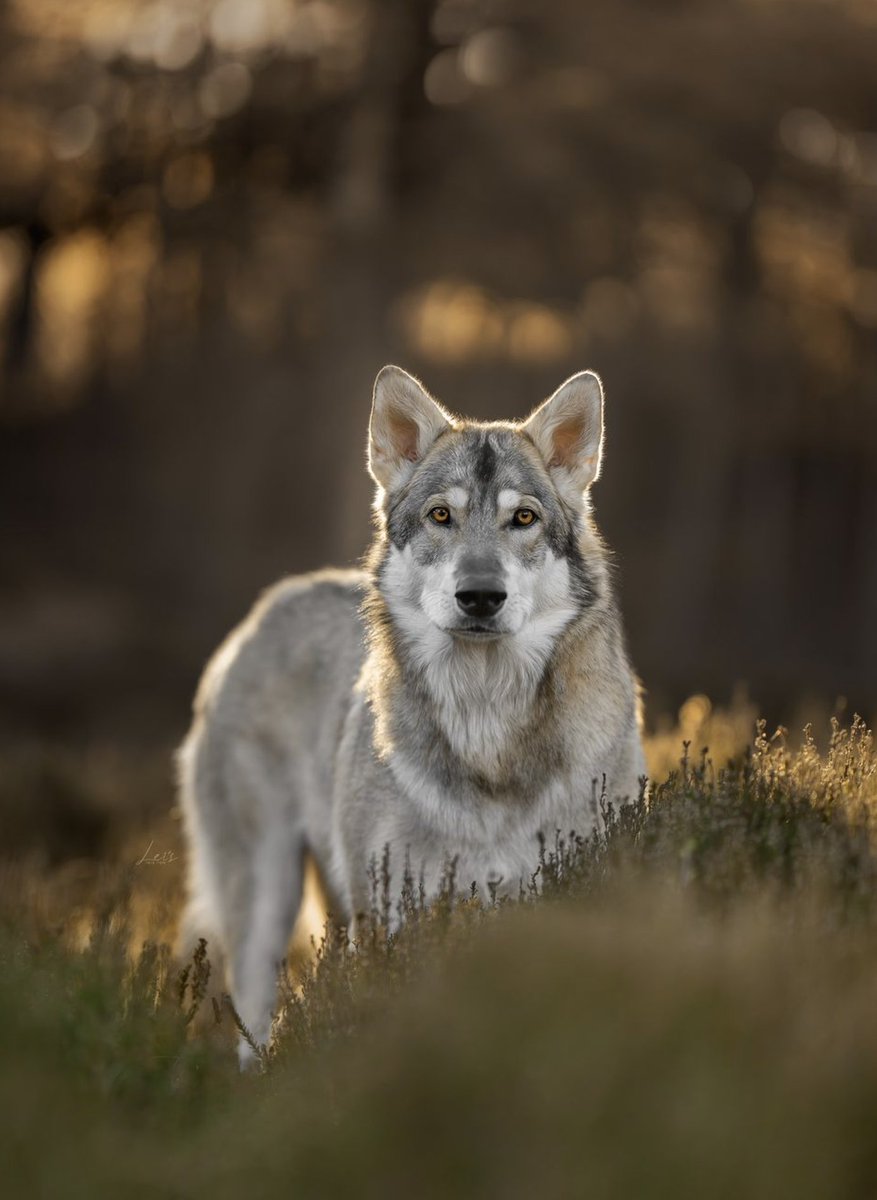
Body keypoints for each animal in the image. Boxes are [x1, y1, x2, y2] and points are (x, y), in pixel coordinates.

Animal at [176, 362, 643, 1060]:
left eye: (524, 518)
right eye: (441, 515)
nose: (480, 596)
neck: (486, 726)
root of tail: (264, 611)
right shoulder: (393, 924)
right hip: (267, 903)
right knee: (252, 1024)